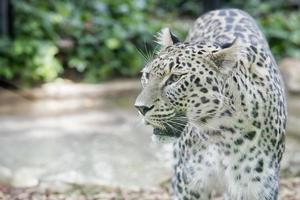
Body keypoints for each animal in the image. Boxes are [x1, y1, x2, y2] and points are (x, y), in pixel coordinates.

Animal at [135, 8, 288, 200]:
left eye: (175, 78)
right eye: (147, 76)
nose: (140, 108)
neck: (223, 133)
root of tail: (225, 8)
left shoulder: (256, 187)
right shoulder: (187, 184)